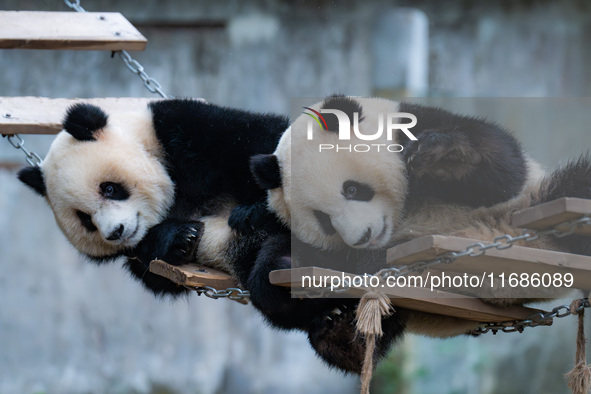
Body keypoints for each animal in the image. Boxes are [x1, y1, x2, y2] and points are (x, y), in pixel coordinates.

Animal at [250, 95, 591, 354]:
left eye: (352, 189)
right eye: (323, 219)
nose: (363, 237)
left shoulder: (416, 123)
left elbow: (502, 173)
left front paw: (447, 158)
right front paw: (281, 268)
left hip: (535, 205)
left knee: (574, 185)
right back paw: (338, 331)